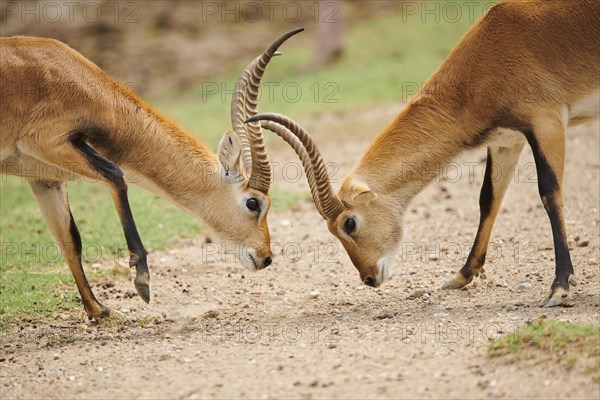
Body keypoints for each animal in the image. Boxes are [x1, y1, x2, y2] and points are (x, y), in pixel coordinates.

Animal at [0, 28, 304, 318]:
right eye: (253, 203)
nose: (266, 257)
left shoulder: (45, 179)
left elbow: (70, 240)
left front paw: (99, 310)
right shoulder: (46, 142)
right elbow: (116, 174)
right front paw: (142, 282)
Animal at [248, 0, 600, 308]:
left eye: (349, 223)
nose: (369, 278)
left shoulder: (547, 123)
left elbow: (549, 193)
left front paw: (560, 288)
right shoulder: (506, 139)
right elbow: (489, 198)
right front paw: (461, 276)